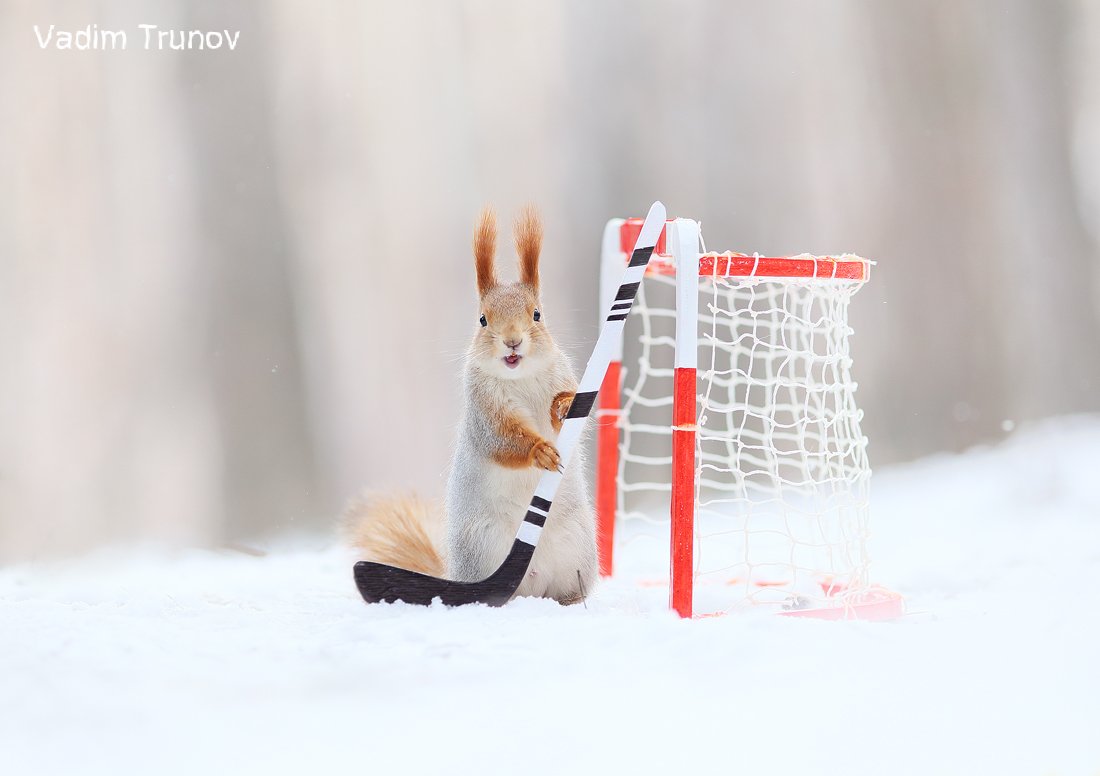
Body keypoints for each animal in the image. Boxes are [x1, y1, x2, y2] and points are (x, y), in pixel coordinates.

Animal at [345, 206, 598, 607]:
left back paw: (570, 601)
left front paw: (566, 404)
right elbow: (500, 439)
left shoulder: (562, 374)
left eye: (538, 315)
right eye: (482, 319)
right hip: (483, 546)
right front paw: (539, 451)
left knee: (567, 590)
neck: (521, 377)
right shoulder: (483, 409)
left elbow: (576, 415)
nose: (512, 342)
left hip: (578, 549)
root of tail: (533, 581)